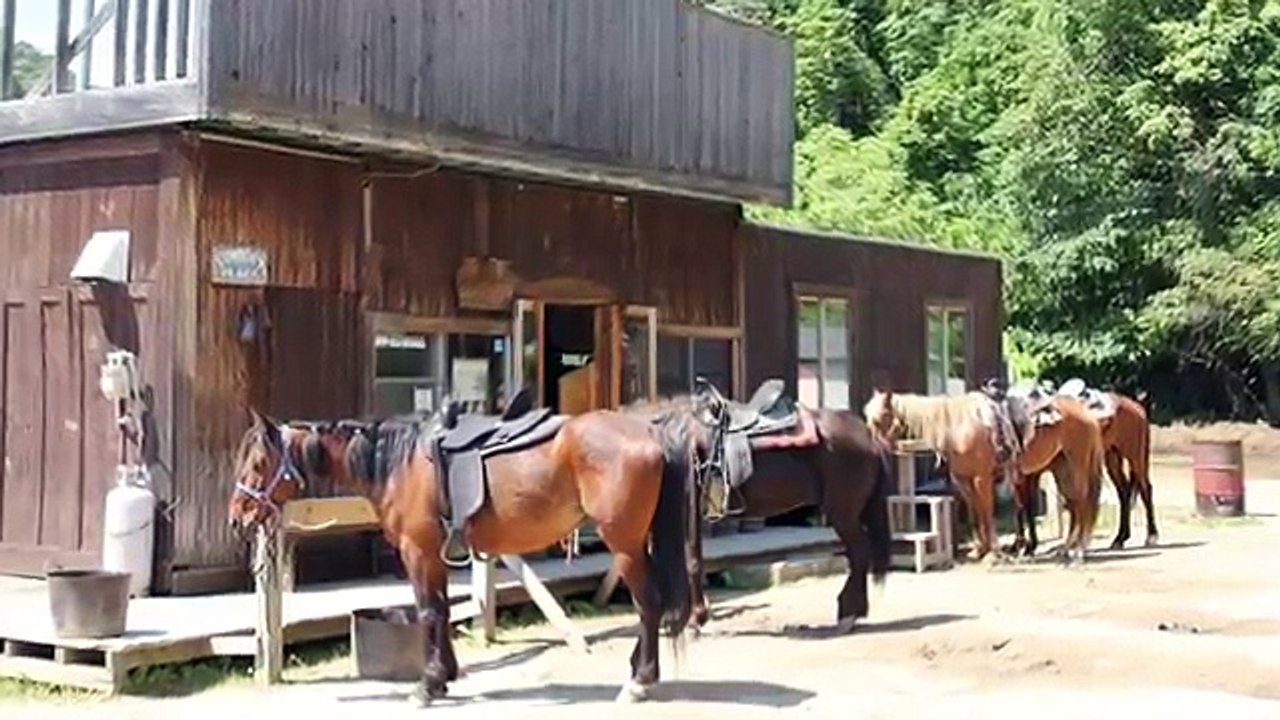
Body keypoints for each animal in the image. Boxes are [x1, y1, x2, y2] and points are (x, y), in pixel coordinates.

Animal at [226, 398, 699, 706]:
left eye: (258, 464)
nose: (237, 518)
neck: (401, 462)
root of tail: (651, 432)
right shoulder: (435, 555)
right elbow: (443, 610)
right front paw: (445, 676)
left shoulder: (417, 552)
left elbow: (429, 611)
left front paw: (427, 686)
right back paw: (638, 668)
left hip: (625, 544)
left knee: (649, 602)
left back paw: (640, 681)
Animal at [629, 378, 892, 635]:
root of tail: (867, 435)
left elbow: (690, 560)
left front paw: (694, 621)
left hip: (843, 512)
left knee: (859, 551)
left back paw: (848, 614)